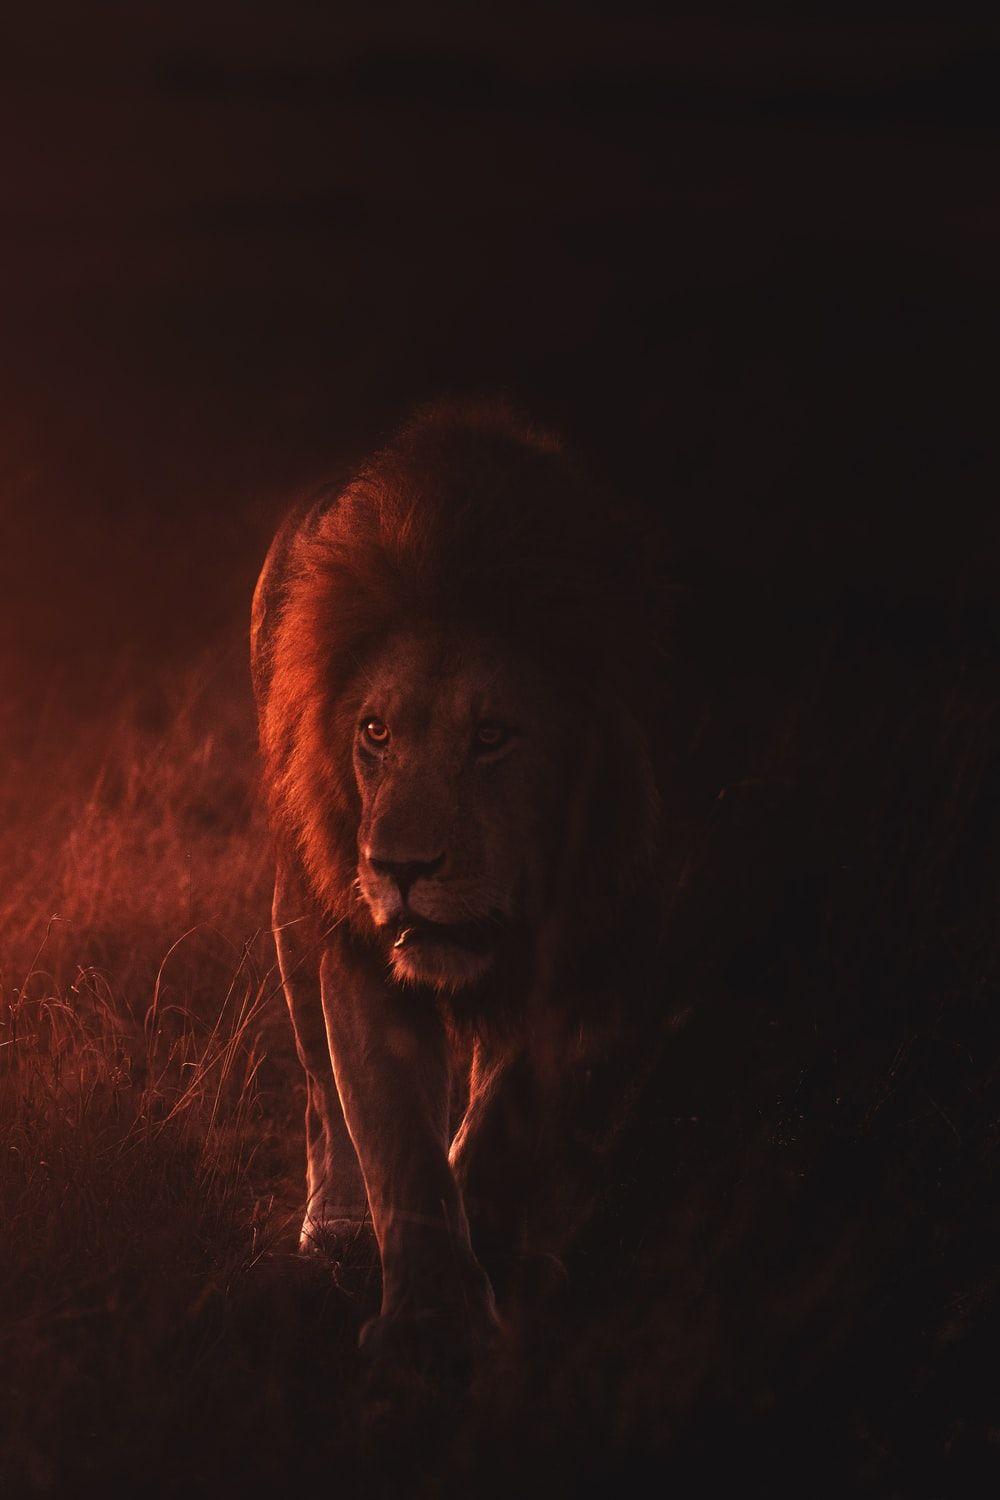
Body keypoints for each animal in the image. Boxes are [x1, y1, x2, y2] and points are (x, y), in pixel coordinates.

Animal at [251, 400, 664, 1378]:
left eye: (491, 737)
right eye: (375, 732)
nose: (400, 868)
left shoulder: (597, 934)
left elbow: (511, 1103)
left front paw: (495, 1234)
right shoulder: (362, 951)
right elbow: (393, 1130)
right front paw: (430, 1323)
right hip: (300, 906)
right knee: (322, 1092)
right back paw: (338, 1225)